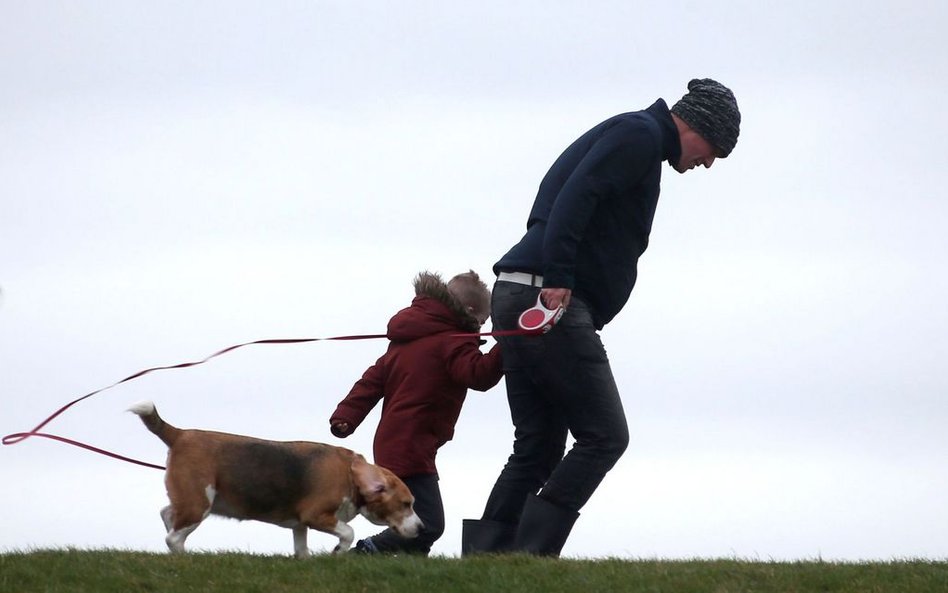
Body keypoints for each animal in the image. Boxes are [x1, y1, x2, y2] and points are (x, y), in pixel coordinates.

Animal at [129, 400, 422, 556]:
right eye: (406, 504)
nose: (422, 528)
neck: (350, 473)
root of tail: (180, 433)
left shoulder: (300, 525)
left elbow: (302, 549)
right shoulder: (316, 515)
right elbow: (348, 531)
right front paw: (338, 551)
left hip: (192, 501)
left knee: (167, 515)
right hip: (198, 503)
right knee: (173, 537)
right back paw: (186, 557)